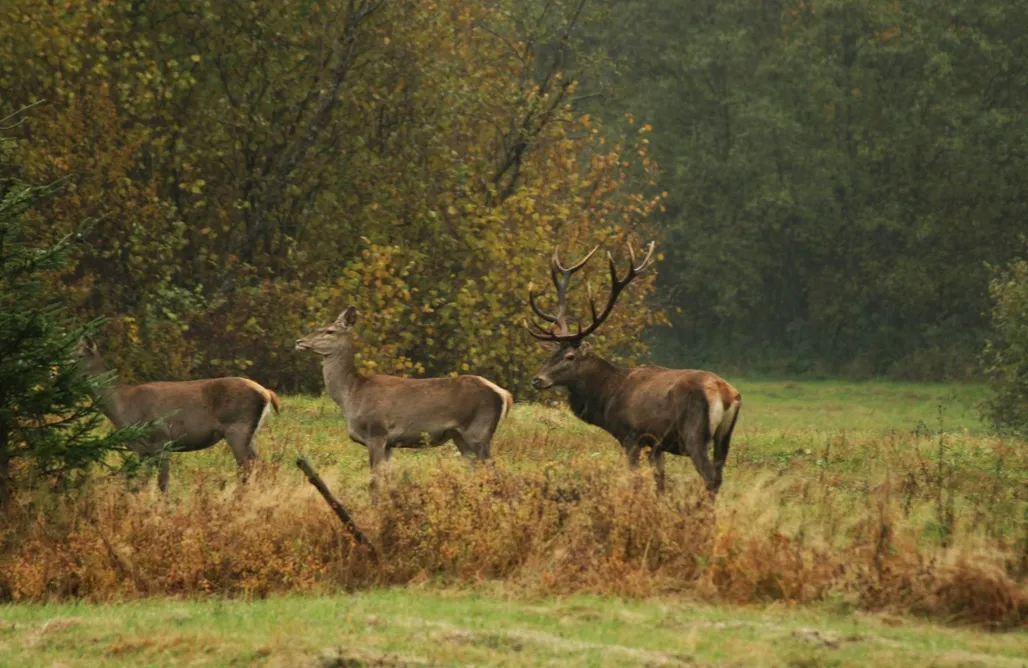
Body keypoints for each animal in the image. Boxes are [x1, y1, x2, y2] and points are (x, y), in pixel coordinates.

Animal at [75, 339, 281, 489]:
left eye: (79, 355)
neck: (123, 408)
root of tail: (267, 393)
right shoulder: (142, 450)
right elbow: (142, 482)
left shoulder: (161, 439)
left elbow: (163, 482)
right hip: (250, 434)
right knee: (261, 467)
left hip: (237, 429)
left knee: (251, 468)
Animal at [526, 241, 744, 491]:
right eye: (553, 353)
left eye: (570, 356)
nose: (538, 379)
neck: (607, 397)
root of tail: (727, 394)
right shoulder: (656, 444)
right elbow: (659, 481)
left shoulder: (631, 435)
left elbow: (635, 479)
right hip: (724, 437)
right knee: (718, 474)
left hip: (694, 434)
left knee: (710, 477)